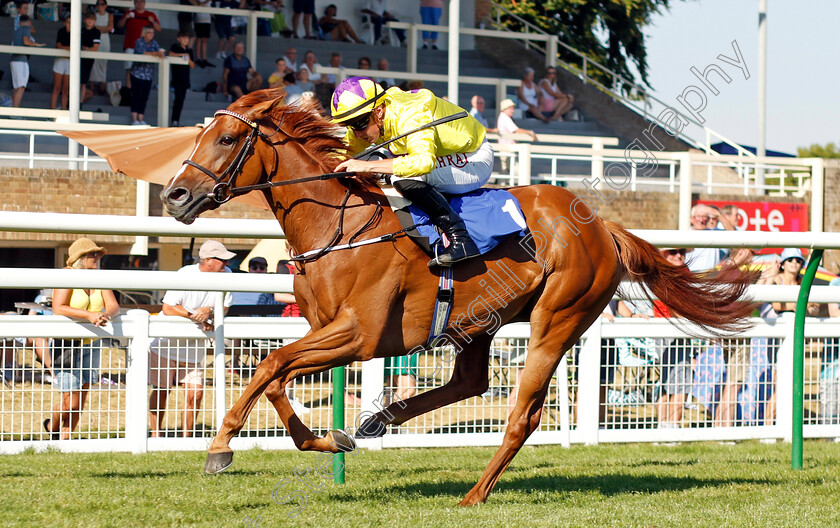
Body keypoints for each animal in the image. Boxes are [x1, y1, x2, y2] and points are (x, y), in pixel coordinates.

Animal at [161, 88, 752, 506]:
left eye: (225, 140)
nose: (174, 196)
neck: (340, 229)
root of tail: (603, 226)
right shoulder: (322, 329)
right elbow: (276, 375)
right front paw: (330, 440)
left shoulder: (359, 335)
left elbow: (271, 366)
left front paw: (219, 448)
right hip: (480, 321)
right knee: (471, 382)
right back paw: (381, 420)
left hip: (559, 317)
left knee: (522, 414)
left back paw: (473, 494)